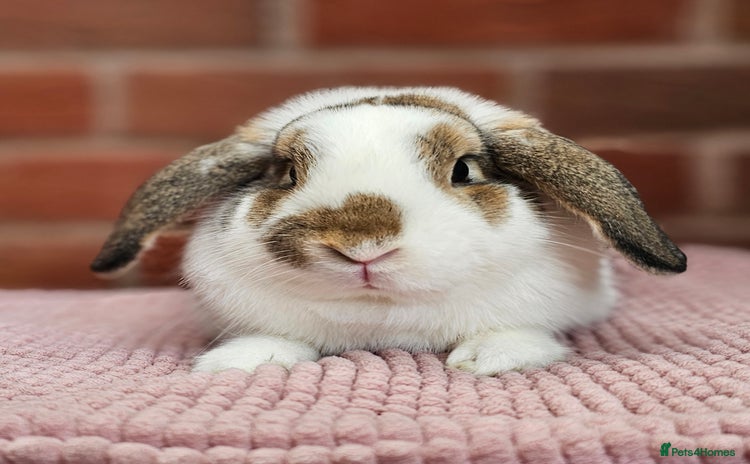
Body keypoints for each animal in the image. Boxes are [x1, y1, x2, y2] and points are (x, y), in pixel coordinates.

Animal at [91, 86, 686, 376]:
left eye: (463, 170)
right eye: (287, 175)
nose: (363, 245)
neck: (384, 316)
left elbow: (518, 332)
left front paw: (490, 360)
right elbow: (273, 338)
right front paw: (240, 363)